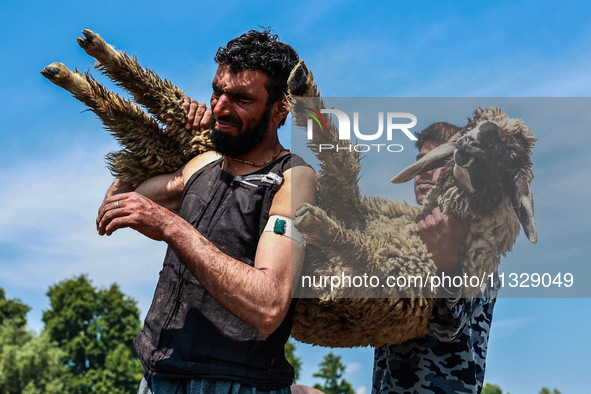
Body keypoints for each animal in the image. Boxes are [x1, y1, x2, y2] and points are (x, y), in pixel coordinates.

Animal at [290, 62, 540, 348]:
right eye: (471, 125)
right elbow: (343, 166)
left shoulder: (383, 278)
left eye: (511, 153)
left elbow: (362, 249)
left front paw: (315, 220)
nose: (468, 144)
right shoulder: (351, 209)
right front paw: (302, 90)